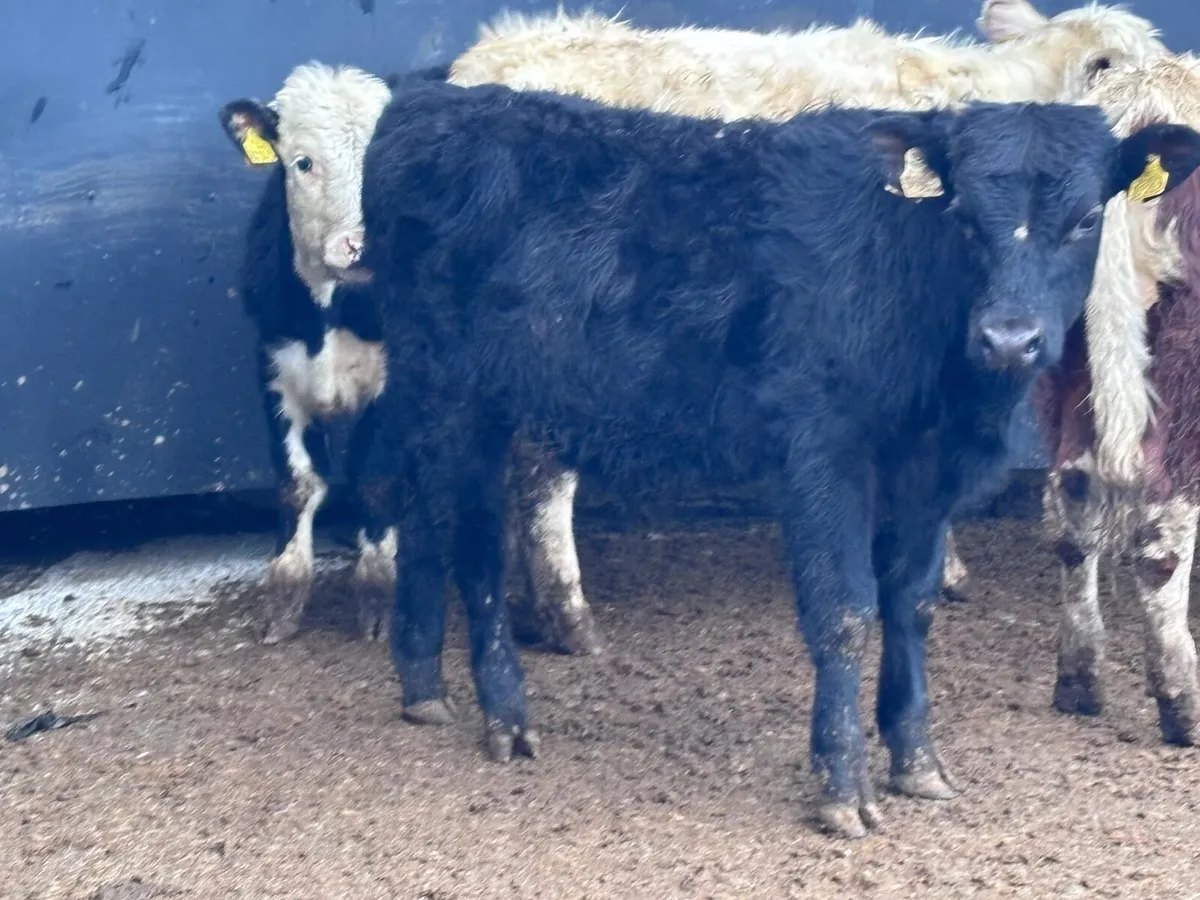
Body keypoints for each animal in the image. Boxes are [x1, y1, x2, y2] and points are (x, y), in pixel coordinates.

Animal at [219, 65, 604, 654]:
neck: (334, 307)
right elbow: (297, 484)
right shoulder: (274, 370)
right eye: (304, 162)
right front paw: (284, 599)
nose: (362, 244)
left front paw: (379, 596)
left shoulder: (396, 384)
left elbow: (376, 479)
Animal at [349, 78, 1200, 838]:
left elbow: (912, 601)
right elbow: (847, 610)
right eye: (961, 214)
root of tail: (434, 100)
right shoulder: (821, 449)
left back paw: (422, 684)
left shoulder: (930, 469)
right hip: (457, 393)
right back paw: (506, 715)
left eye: (1086, 217)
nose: (1009, 338)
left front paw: (917, 761)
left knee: (420, 510)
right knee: (473, 548)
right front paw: (843, 787)